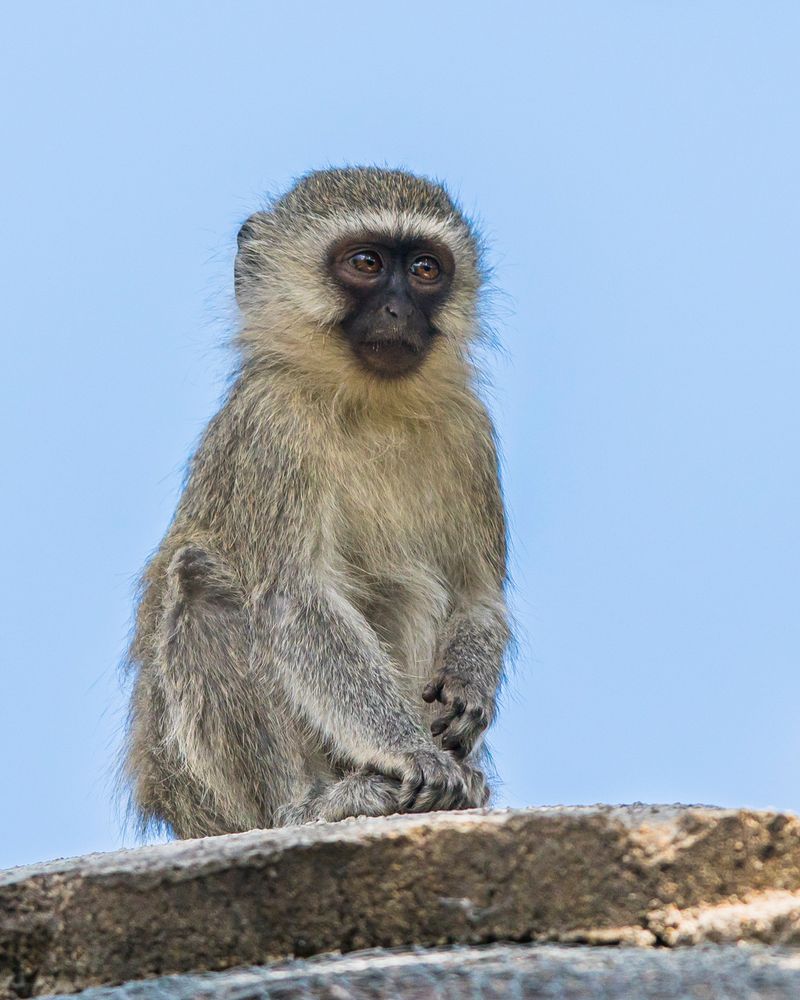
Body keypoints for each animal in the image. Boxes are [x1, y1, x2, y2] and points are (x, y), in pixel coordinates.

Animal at [126, 168, 512, 840]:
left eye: (425, 269)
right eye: (365, 263)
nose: (398, 310)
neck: (368, 402)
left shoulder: (473, 431)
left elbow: (476, 593)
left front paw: (469, 685)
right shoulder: (272, 429)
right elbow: (294, 602)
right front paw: (414, 752)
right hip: (199, 792)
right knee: (204, 590)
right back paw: (307, 804)